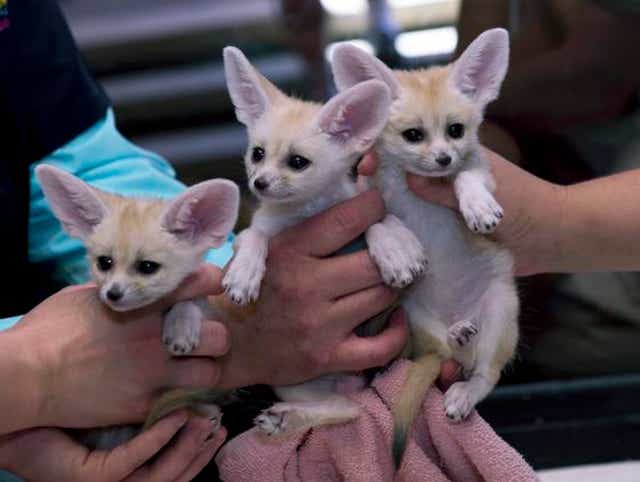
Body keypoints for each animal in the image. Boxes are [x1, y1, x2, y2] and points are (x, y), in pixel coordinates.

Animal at [220, 46, 428, 435]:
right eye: (257, 154)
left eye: (298, 162)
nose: (259, 183)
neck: (306, 212)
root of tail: (352, 382)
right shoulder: (255, 230)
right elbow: (253, 236)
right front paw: (243, 274)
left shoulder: (357, 202)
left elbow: (378, 219)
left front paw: (397, 248)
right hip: (292, 378)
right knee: (347, 409)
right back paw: (285, 419)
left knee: (349, 409)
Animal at [330, 28, 519, 465]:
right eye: (413, 135)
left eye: (456, 130)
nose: (444, 158)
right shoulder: (364, 194)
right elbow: (374, 220)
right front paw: (393, 250)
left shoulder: (484, 170)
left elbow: (468, 177)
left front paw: (476, 205)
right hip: (413, 314)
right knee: (444, 350)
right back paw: (457, 335)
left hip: (500, 309)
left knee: (486, 373)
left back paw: (466, 386)